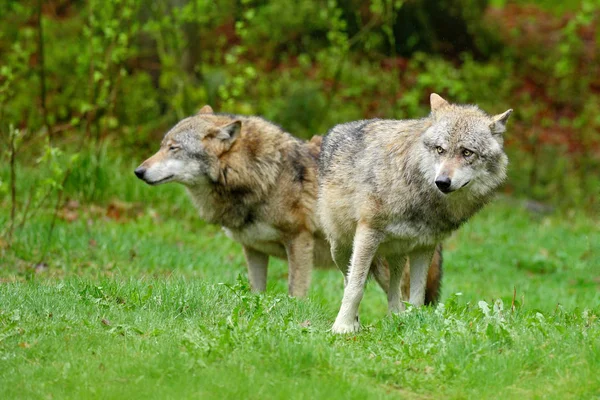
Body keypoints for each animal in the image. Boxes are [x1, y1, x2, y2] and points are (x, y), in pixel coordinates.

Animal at [136, 106, 442, 300]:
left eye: (174, 148)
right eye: (162, 146)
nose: (138, 171)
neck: (265, 176)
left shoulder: (298, 240)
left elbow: (295, 293)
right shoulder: (253, 249)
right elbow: (256, 292)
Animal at [318, 94, 510, 334]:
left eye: (467, 152)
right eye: (440, 149)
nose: (442, 182)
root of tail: (335, 129)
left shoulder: (424, 246)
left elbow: (417, 296)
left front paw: (415, 326)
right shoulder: (367, 234)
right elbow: (355, 287)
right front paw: (342, 327)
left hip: (397, 253)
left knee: (396, 289)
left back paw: (395, 316)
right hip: (341, 248)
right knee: (348, 280)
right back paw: (356, 322)